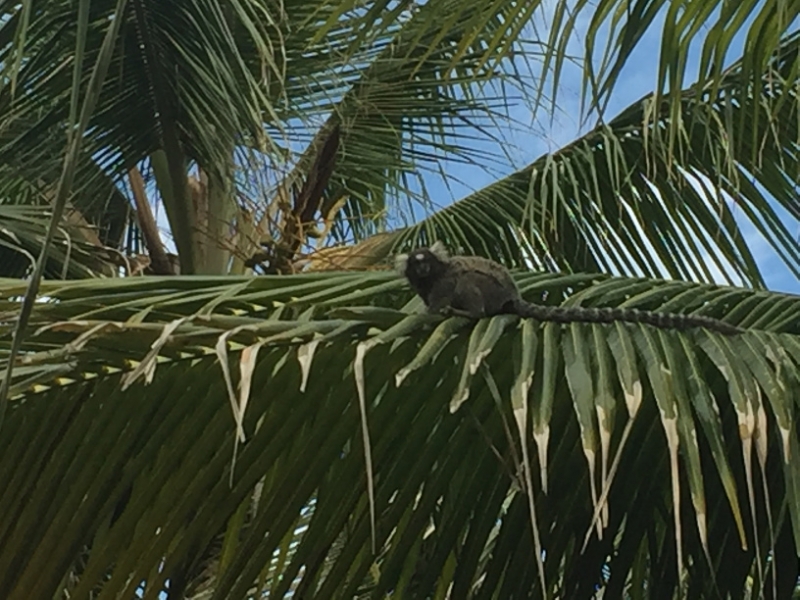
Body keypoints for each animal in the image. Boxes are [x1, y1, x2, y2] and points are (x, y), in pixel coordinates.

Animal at [394, 241, 742, 335]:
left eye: (427, 262)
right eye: (417, 264)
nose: (422, 268)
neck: (431, 278)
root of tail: (511, 296)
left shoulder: (443, 281)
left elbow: (439, 301)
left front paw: (432, 312)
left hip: (486, 289)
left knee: (470, 288)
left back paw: (470, 313)